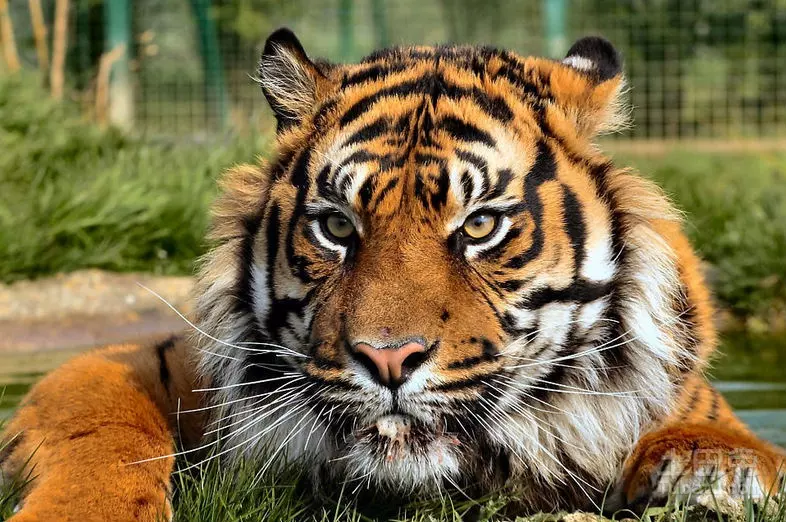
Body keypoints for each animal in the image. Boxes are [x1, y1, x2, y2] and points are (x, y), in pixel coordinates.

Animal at [1, 29, 784, 520]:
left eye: (480, 226)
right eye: (338, 227)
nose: (387, 359)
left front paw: (712, 466)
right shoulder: (145, 360)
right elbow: (101, 429)